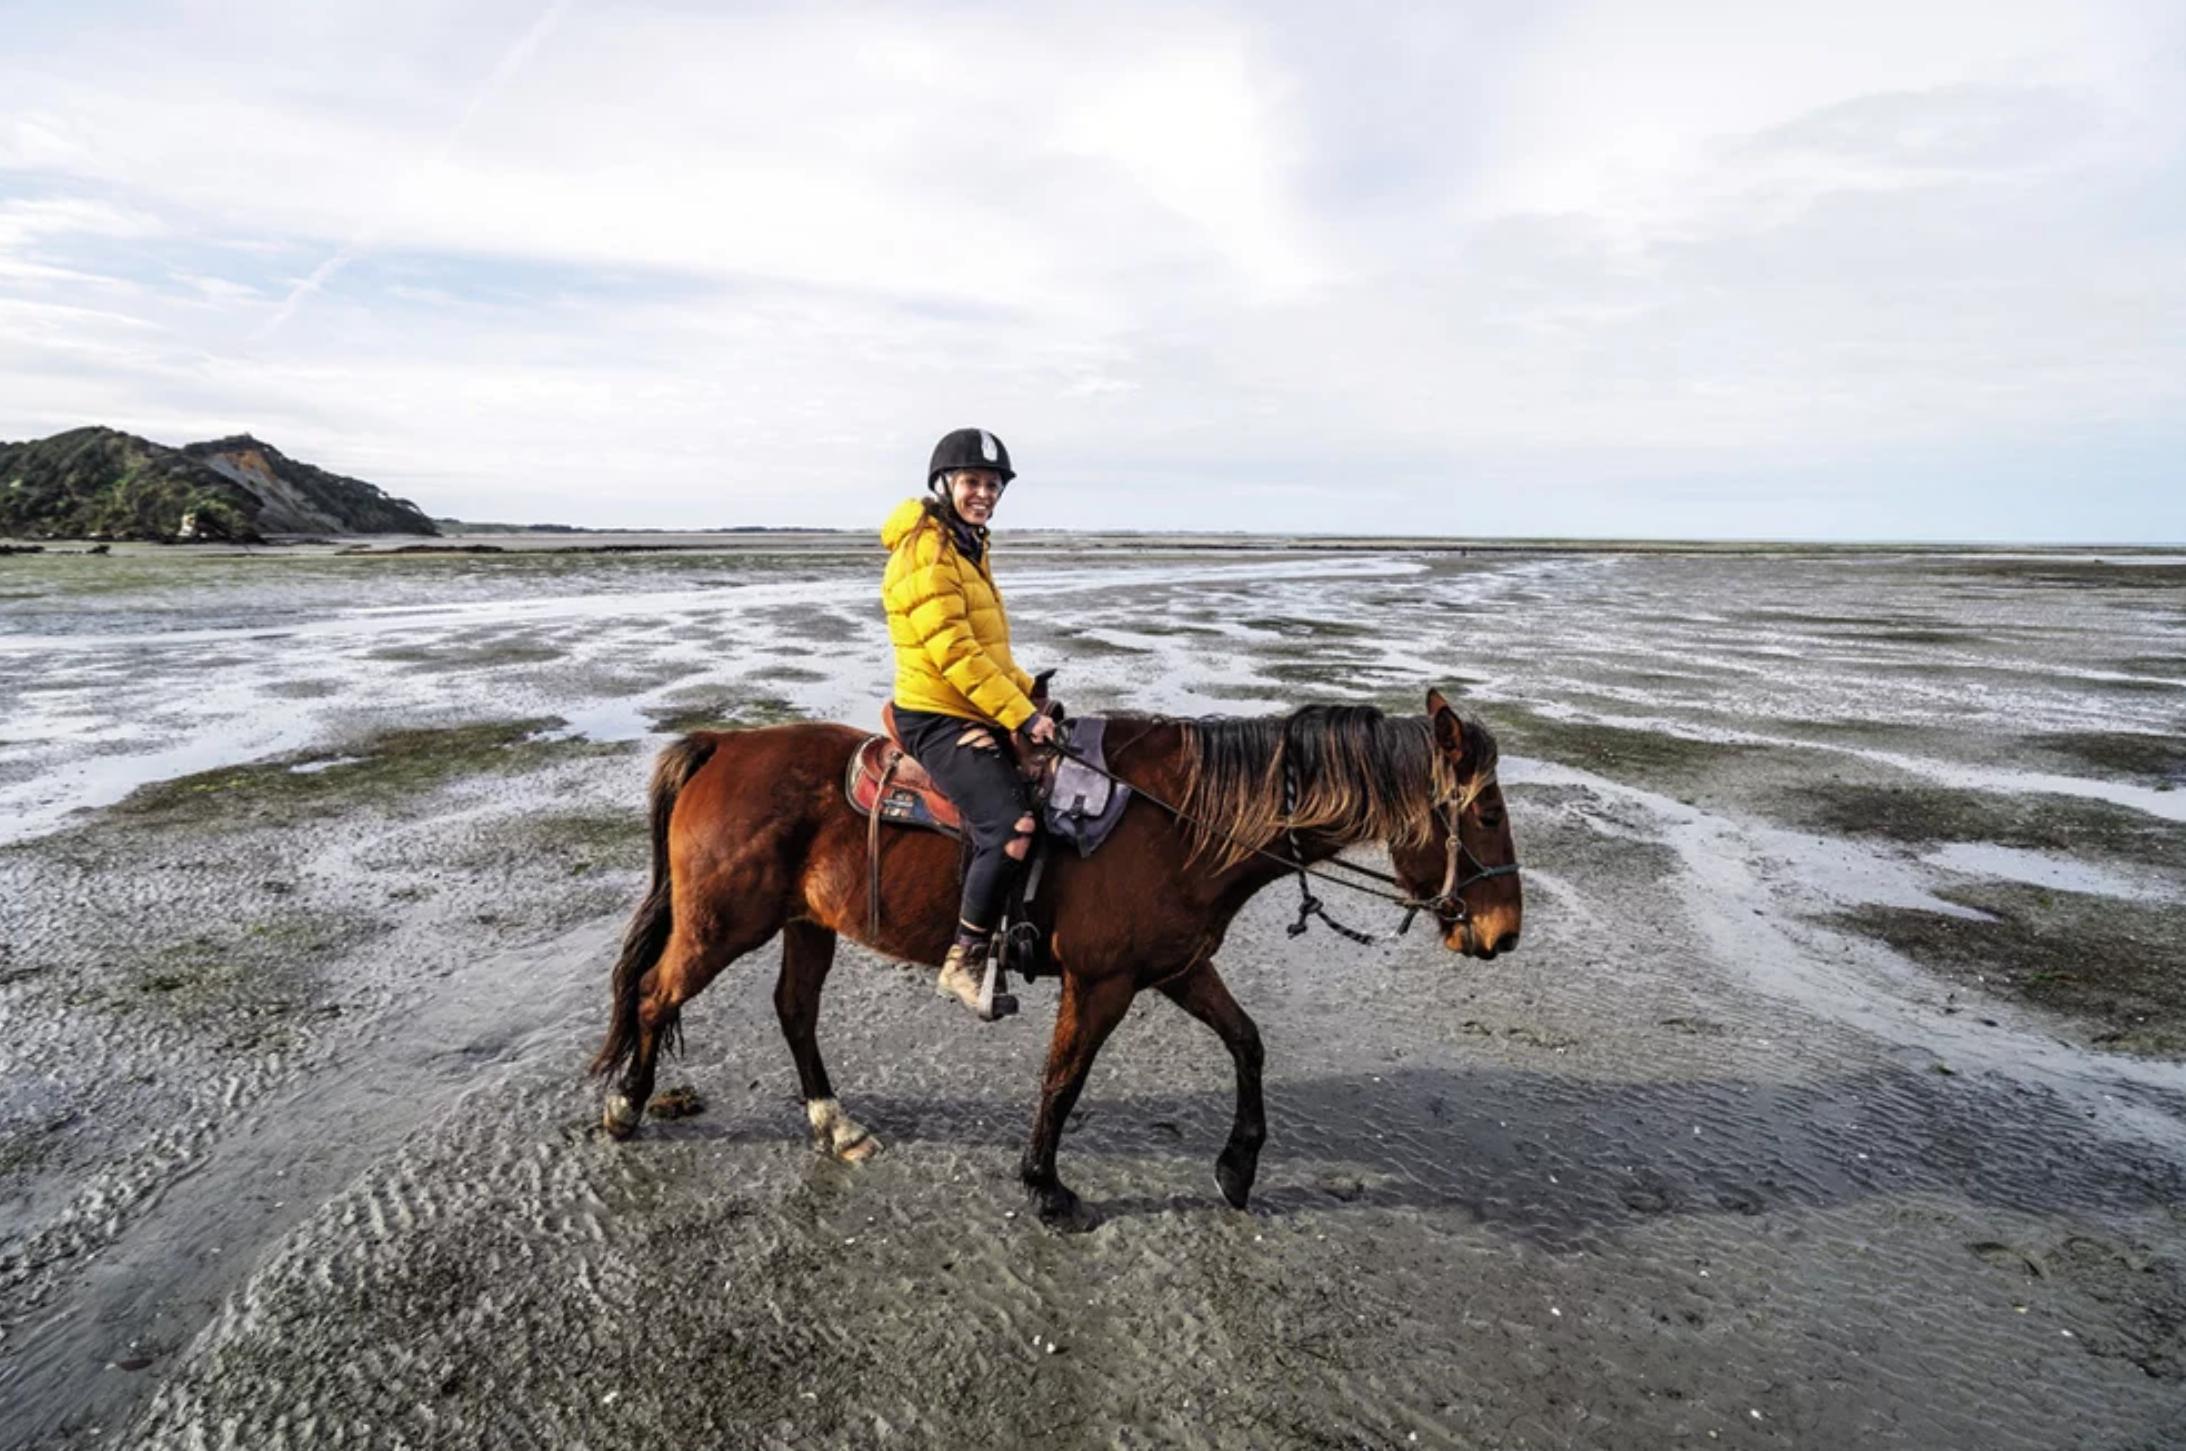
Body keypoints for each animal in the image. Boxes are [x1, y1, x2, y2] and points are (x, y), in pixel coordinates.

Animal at [590, 686, 1530, 1232]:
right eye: (1485, 814)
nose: (1505, 933)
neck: (1179, 821)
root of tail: (722, 744)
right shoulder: (1103, 981)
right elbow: (1064, 1078)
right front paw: (1045, 1187)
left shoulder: (1178, 967)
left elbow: (1249, 1042)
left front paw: (1237, 1167)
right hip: (722, 924)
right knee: (655, 995)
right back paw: (628, 1106)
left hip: (804, 924)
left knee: (792, 1011)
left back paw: (834, 1122)